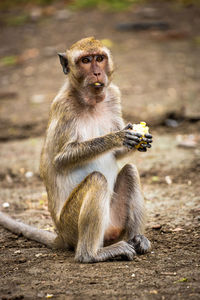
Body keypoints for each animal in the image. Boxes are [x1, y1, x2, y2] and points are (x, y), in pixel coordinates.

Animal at [0, 37, 152, 262]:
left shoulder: (113, 95)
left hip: (113, 222)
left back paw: (136, 239)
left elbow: (119, 155)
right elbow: (60, 160)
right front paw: (118, 137)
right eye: (86, 61)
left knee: (131, 171)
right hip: (71, 225)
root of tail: (61, 235)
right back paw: (91, 254)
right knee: (97, 180)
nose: (97, 73)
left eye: (99, 58)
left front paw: (137, 139)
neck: (91, 102)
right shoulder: (63, 107)